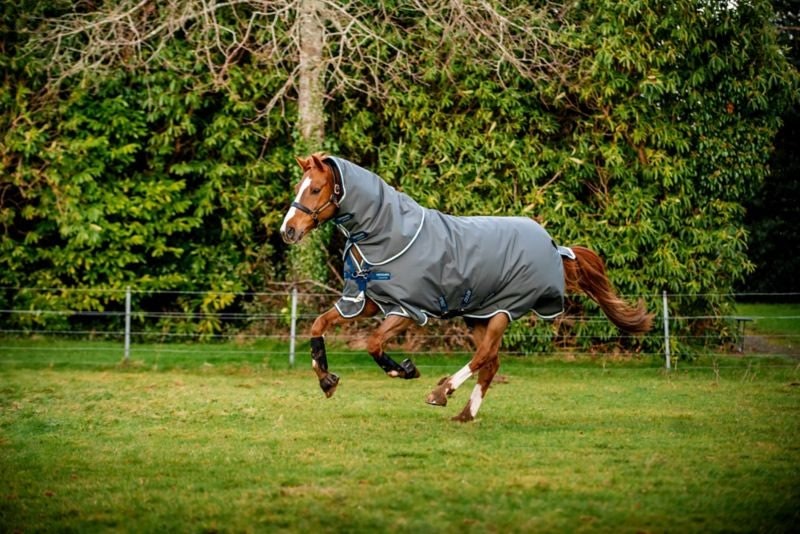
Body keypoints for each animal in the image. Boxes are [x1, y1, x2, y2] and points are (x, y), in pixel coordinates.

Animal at [280, 153, 653, 422]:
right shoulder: (366, 300)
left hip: (504, 311)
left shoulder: (408, 310)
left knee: (484, 356)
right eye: (300, 186)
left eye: (315, 189)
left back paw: (441, 393)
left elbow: (373, 343)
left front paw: (404, 370)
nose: (288, 231)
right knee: (491, 363)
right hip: (479, 315)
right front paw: (327, 381)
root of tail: (555, 247)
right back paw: (464, 414)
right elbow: (318, 325)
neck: (387, 233)